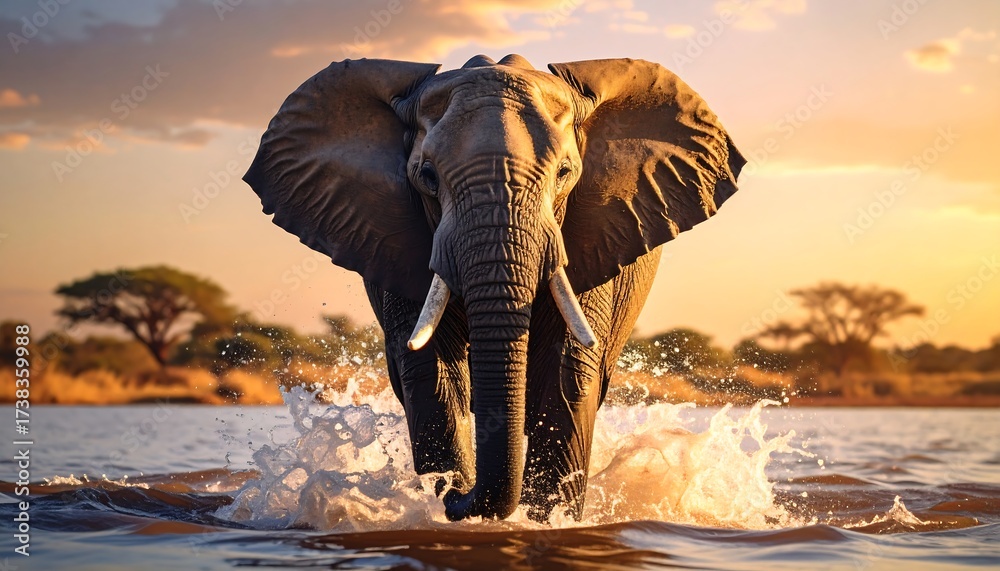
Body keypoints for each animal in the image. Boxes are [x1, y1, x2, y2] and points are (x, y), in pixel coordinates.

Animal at [244, 53, 745, 522]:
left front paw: (546, 521)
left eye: (565, 173)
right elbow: (430, 369)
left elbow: (565, 370)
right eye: (427, 176)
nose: (457, 495)